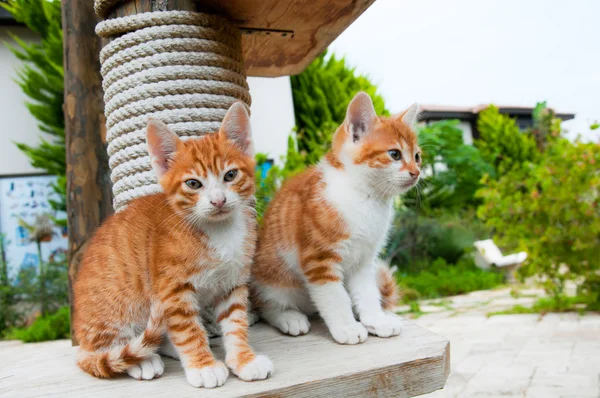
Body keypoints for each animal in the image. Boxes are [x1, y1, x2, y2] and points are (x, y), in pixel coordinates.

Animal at [72, 103, 274, 388]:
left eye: (231, 175)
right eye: (193, 183)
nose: (218, 200)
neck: (219, 231)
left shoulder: (232, 284)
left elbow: (236, 323)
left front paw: (244, 359)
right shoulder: (173, 290)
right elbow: (188, 330)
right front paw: (204, 366)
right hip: (116, 305)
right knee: (102, 351)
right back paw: (141, 360)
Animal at [251, 91, 420, 344]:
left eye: (417, 156)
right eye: (395, 154)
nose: (417, 172)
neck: (365, 197)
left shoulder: (364, 260)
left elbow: (368, 292)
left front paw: (376, 320)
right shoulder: (319, 260)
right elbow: (335, 297)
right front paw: (347, 328)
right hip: (274, 278)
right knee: (267, 305)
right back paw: (289, 317)